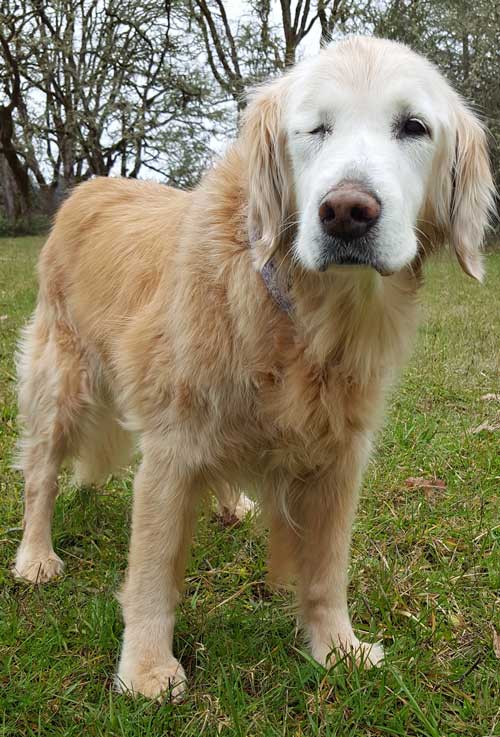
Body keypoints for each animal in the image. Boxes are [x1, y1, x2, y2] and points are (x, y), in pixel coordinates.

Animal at [13, 36, 494, 700]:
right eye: (315, 127)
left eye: (414, 127)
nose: (346, 211)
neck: (301, 315)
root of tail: (86, 189)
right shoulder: (171, 448)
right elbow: (153, 571)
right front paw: (146, 670)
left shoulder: (339, 454)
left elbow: (326, 571)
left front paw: (336, 648)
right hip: (62, 381)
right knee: (42, 475)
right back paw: (35, 557)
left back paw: (229, 504)